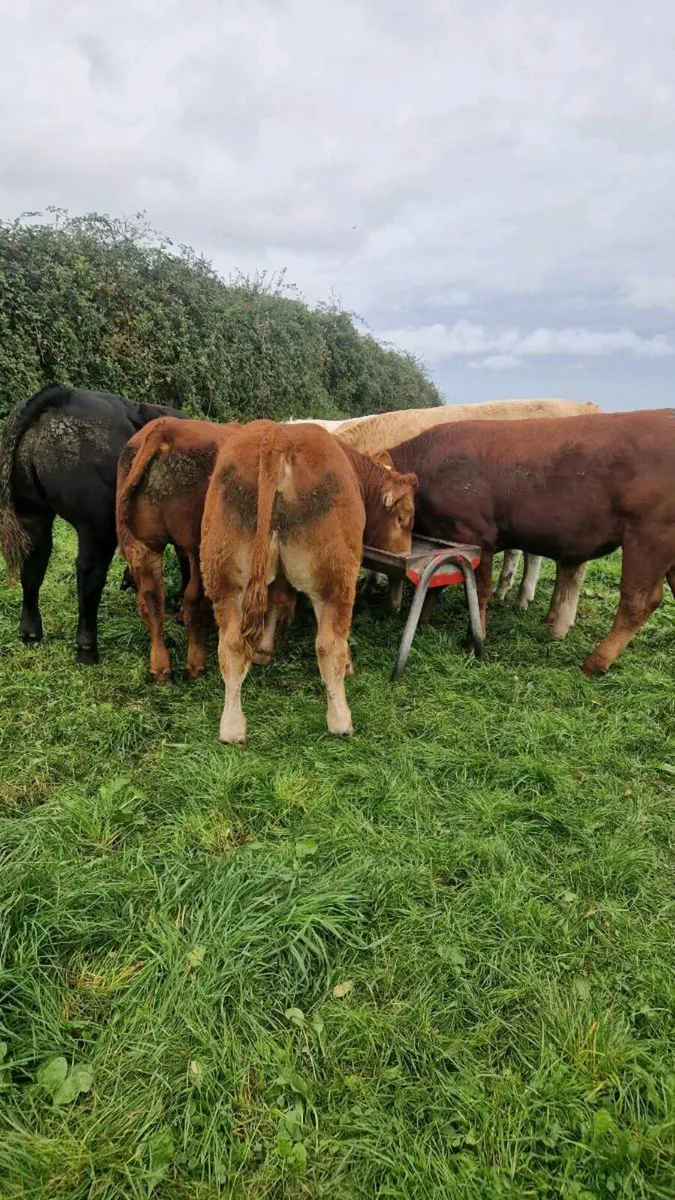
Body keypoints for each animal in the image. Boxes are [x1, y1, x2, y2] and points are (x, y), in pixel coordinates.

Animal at [0, 385, 185, 664]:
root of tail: (64, 395)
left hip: (32, 511)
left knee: (35, 562)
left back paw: (30, 632)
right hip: (97, 524)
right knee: (89, 572)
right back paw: (87, 649)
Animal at [116, 416, 241, 683]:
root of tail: (163, 430)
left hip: (147, 545)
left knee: (151, 600)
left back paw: (160, 665)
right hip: (199, 545)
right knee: (195, 599)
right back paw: (195, 661)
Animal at [200, 419, 418, 744]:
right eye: (405, 517)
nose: (405, 556)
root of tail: (276, 436)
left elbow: (277, 600)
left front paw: (265, 649)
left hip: (224, 577)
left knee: (232, 644)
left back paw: (232, 728)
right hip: (335, 578)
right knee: (328, 645)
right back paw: (340, 721)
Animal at [386, 409, 675, 673]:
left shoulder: (478, 537)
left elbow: (479, 591)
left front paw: (474, 641)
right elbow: (435, 585)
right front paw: (423, 622)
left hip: (648, 537)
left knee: (639, 601)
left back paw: (593, 664)